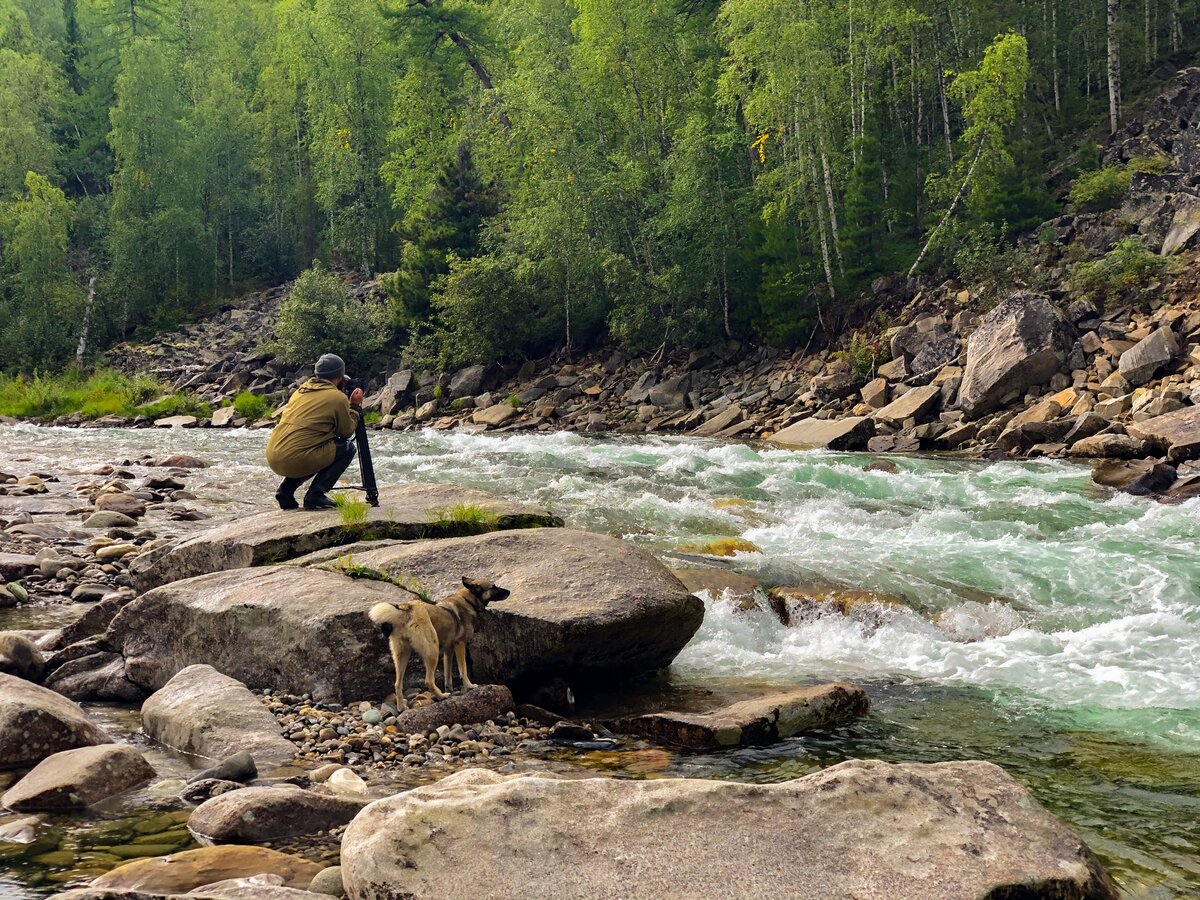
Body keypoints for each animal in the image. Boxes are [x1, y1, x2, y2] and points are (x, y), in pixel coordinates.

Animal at [369, 580, 511, 710]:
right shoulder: (460, 645)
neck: (468, 600)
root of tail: (406, 608)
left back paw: (401, 707)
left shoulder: (449, 651)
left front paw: (451, 689)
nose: (509, 591)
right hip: (433, 651)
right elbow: (463, 670)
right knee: (429, 681)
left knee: (397, 684)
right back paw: (442, 696)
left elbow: (448, 675)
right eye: (493, 587)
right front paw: (469, 686)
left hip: (402, 655)